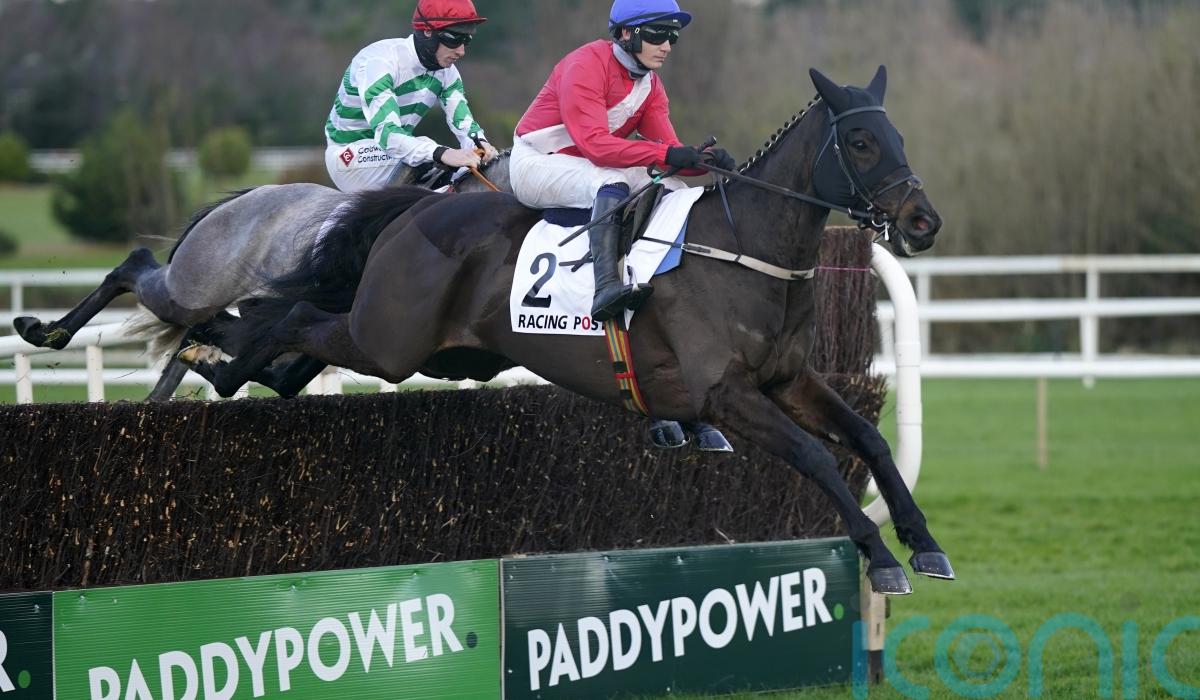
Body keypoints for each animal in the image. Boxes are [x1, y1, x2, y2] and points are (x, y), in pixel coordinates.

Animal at [189, 66, 952, 595]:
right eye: (860, 140)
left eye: (898, 137)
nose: (923, 221)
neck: (744, 248)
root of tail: (416, 209)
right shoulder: (726, 393)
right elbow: (817, 456)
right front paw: (879, 555)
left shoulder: (790, 379)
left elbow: (869, 440)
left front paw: (923, 541)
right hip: (391, 340)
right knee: (295, 318)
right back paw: (224, 360)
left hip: (447, 353)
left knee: (302, 349)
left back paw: (235, 365)